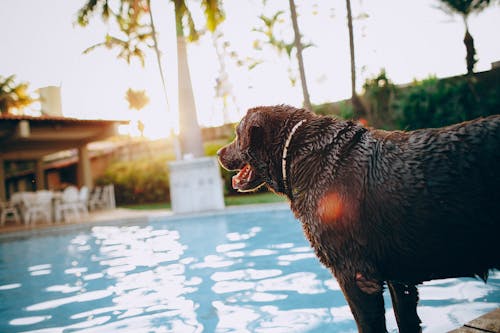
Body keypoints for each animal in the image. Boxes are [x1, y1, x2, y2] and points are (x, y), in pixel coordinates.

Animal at [219, 105, 500, 332]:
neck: (304, 156)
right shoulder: (400, 279)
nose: (219, 152)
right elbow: (406, 321)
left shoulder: (354, 276)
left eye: (236, 134)